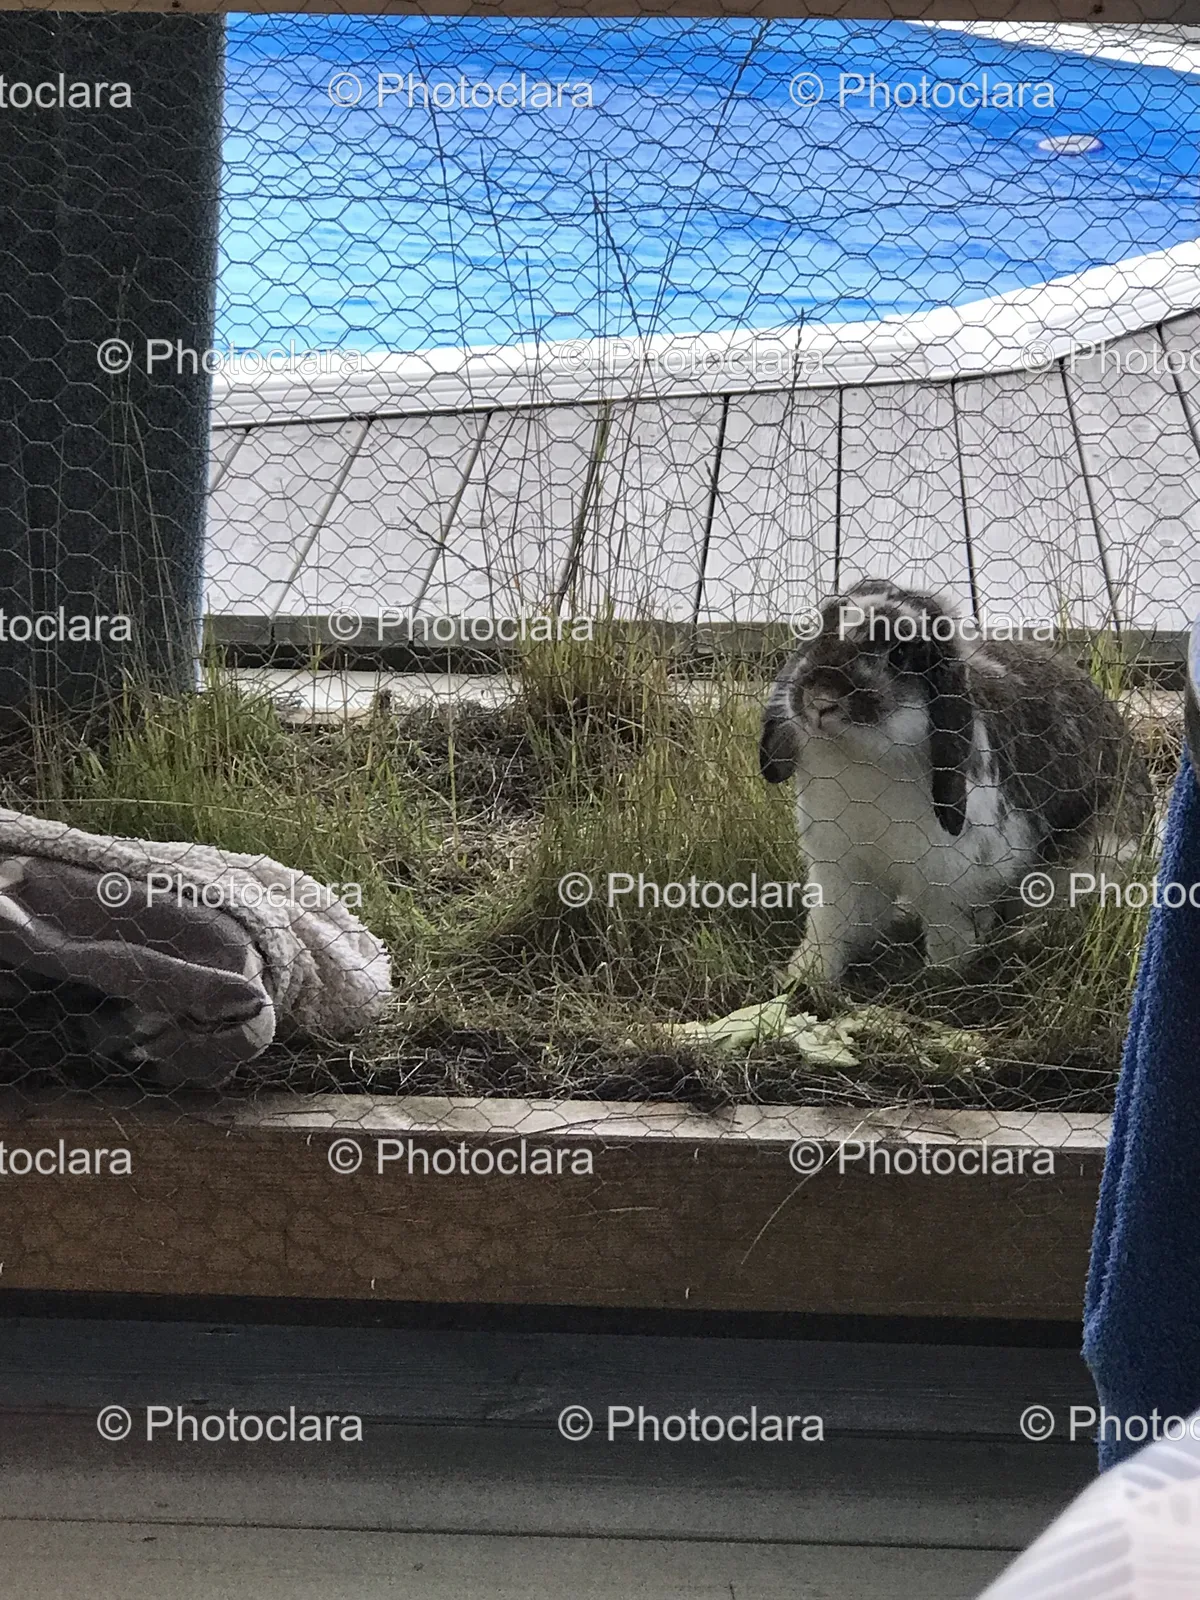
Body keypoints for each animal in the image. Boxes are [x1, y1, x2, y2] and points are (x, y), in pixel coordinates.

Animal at [759, 579, 1153, 985]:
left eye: (899, 653)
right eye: (819, 631)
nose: (820, 699)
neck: (860, 759)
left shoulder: (953, 883)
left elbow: (950, 936)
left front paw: (938, 977)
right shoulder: (841, 869)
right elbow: (831, 926)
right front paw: (804, 976)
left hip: (1087, 861)